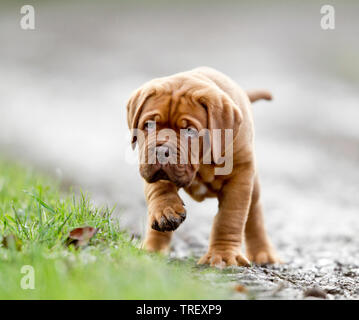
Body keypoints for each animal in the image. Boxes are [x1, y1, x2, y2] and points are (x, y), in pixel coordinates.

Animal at [126, 67, 282, 268]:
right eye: (149, 125)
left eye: (190, 131)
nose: (160, 151)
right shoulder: (151, 168)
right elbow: (159, 189)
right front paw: (166, 211)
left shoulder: (240, 176)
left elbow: (230, 218)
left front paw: (223, 256)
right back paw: (152, 249)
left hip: (253, 187)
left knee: (254, 215)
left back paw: (263, 253)